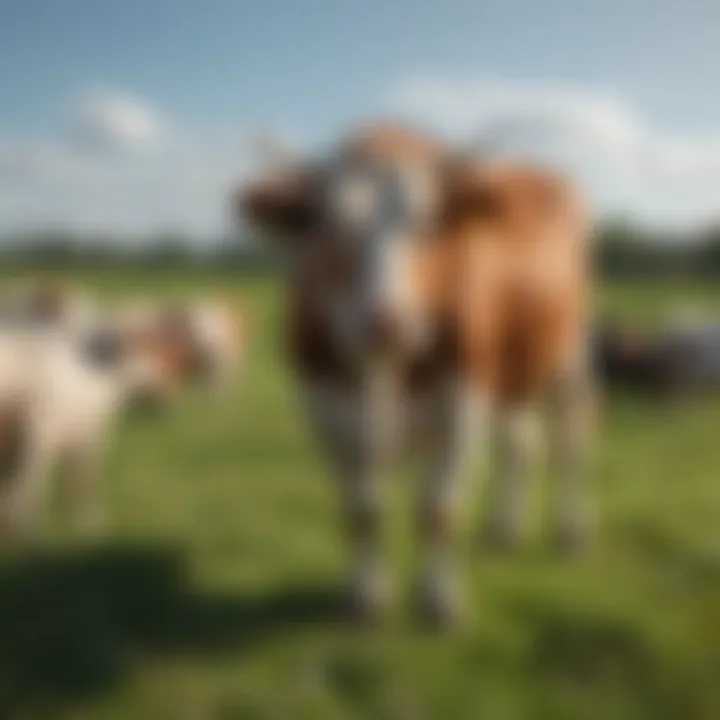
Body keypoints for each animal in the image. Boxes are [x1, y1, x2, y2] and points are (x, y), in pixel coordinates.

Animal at [239, 121, 592, 628]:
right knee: (524, 444)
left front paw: (439, 603)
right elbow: (361, 513)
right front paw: (365, 599)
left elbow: (437, 512)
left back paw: (570, 532)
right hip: (514, 370)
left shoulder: (462, 409)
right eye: (327, 225)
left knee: (571, 442)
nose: (387, 323)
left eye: (429, 223)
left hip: (569, 355)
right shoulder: (326, 413)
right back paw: (504, 529)